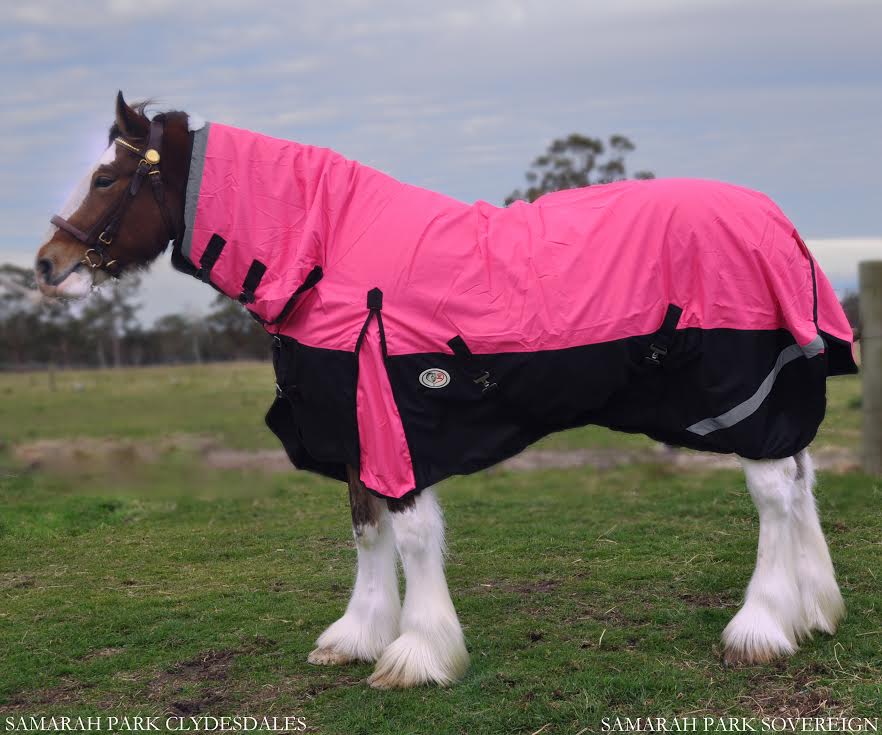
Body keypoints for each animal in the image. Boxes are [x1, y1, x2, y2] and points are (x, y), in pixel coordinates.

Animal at [34, 92, 857, 689]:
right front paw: (357, 636)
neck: (327, 248)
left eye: (105, 178)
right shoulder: (354, 429)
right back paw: (814, 612)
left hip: (744, 399)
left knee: (775, 496)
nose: (46, 264)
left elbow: (413, 534)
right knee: (802, 481)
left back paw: (761, 628)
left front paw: (418, 653)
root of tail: (778, 224)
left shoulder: (397, 422)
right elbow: (366, 529)